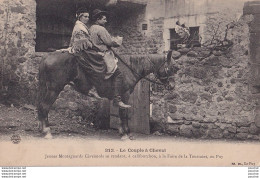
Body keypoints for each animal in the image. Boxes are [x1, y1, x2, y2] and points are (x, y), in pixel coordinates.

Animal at [37, 49, 179, 140]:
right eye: (173, 67)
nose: (172, 86)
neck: (130, 67)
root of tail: (46, 57)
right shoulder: (124, 95)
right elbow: (123, 113)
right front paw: (125, 134)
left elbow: (123, 114)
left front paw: (124, 132)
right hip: (54, 89)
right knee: (44, 107)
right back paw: (47, 132)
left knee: (42, 107)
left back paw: (42, 129)